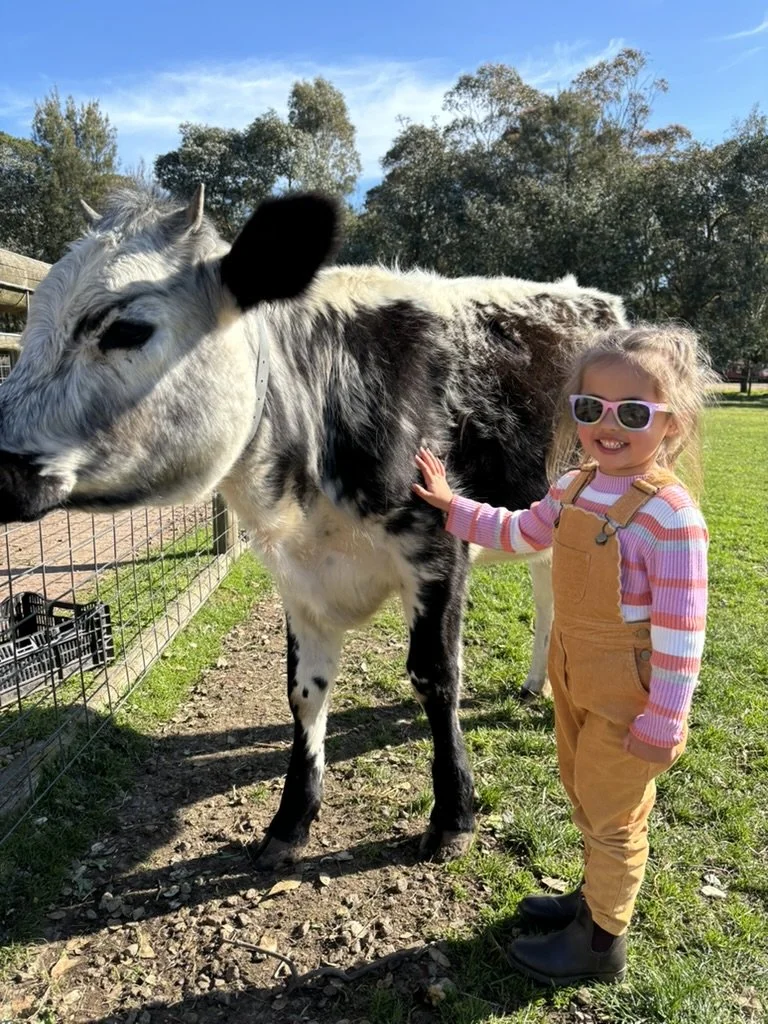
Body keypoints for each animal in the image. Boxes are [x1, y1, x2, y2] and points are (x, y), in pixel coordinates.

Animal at [0, 186, 625, 867]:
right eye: (27, 330)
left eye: (125, 330)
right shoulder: (296, 576)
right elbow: (303, 691)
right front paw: (290, 820)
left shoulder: (439, 547)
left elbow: (435, 676)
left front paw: (453, 816)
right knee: (547, 590)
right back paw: (537, 682)